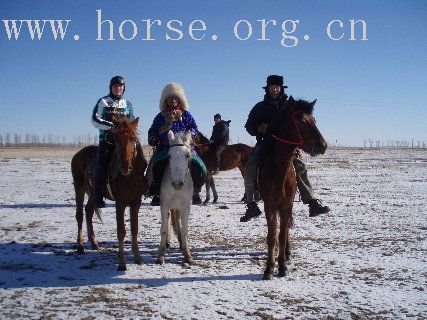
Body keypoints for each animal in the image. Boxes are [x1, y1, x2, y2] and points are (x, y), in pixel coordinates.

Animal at [71, 116, 148, 272]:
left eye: (133, 138)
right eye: (116, 139)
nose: (125, 166)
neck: (131, 177)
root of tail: (78, 155)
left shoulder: (135, 202)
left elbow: (134, 229)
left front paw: (138, 258)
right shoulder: (120, 203)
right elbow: (121, 231)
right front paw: (122, 263)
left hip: (93, 193)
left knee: (88, 211)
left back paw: (94, 243)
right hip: (79, 187)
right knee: (80, 215)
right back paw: (80, 246)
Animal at [157, 130, 194, 264]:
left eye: (187, 155)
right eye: (169, 156)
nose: (177, 183)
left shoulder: (185, 207)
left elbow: (184, 229)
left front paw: (187, 255)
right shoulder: (164, 205)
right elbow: (163, 229)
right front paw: (160, 255)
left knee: (176, 221)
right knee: (168, 221)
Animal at [260, 96, 330, 278]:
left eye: (314, 120)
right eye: (301, 122)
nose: (323, 145)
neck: (279, 172)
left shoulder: (286, 205)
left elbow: (282, 234)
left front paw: (282, 266)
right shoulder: (269, 205)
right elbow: (272, 236)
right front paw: (269, 268)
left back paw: (286, 253)